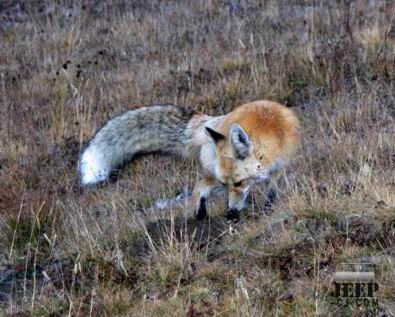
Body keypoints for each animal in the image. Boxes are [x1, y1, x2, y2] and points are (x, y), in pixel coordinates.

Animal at [78, 100, 300, 221]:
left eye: (239, 183)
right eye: (229, 184)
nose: (230, 213)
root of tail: (212, 122)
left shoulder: (282, 165)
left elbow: (273, 188)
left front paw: (269, 205)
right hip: (211, 173)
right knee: (198, 189)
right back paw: (199, 211)